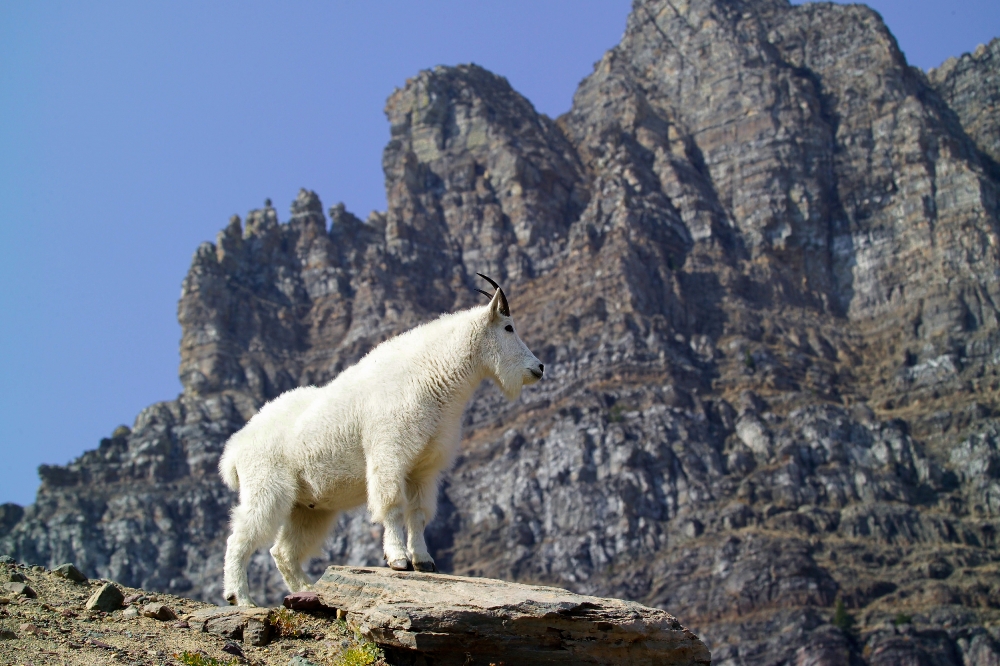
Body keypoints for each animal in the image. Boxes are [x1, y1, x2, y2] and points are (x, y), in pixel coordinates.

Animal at [221, 272, 548, 604]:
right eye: (508, 328)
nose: (539, 367)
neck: (433, 378)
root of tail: (235, 449)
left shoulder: (424, 468)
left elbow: (418, 513)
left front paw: (424, 561)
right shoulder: (389, 454)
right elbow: (392, 505)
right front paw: (398, 559)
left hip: (309, 508)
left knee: (283, 552)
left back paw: (308, 591)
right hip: (266, 488)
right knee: (240, 537)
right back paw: (240, 597)